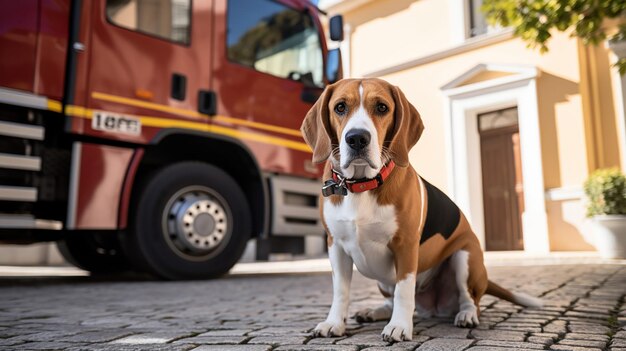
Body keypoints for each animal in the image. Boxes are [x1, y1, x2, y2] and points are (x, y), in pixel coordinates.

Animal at [300, 78, 540, 342]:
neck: (362, 186)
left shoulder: (405, 246)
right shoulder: (336, 246)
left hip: (465, 258)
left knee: (471, 300)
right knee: (391, 300)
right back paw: (375, 312)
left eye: (382, 107)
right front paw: (334, 323)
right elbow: (341, 291)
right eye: (340, 107)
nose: (357, 138)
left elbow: (404, 290)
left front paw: (399, 327)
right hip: (385, 282)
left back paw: (466, 315)